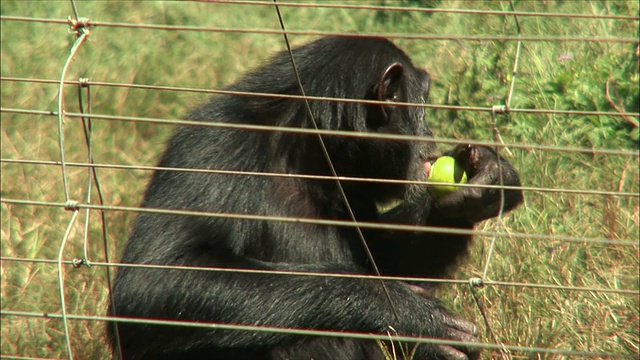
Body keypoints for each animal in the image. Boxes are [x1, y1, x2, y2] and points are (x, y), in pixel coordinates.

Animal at [107, 35, 524, 358]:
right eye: (421, 104)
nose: (432, 131)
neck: (307, 150)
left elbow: (384, 256)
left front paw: (483, 184)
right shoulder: (212, 147)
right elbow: (155, 281)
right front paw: (409, 316)